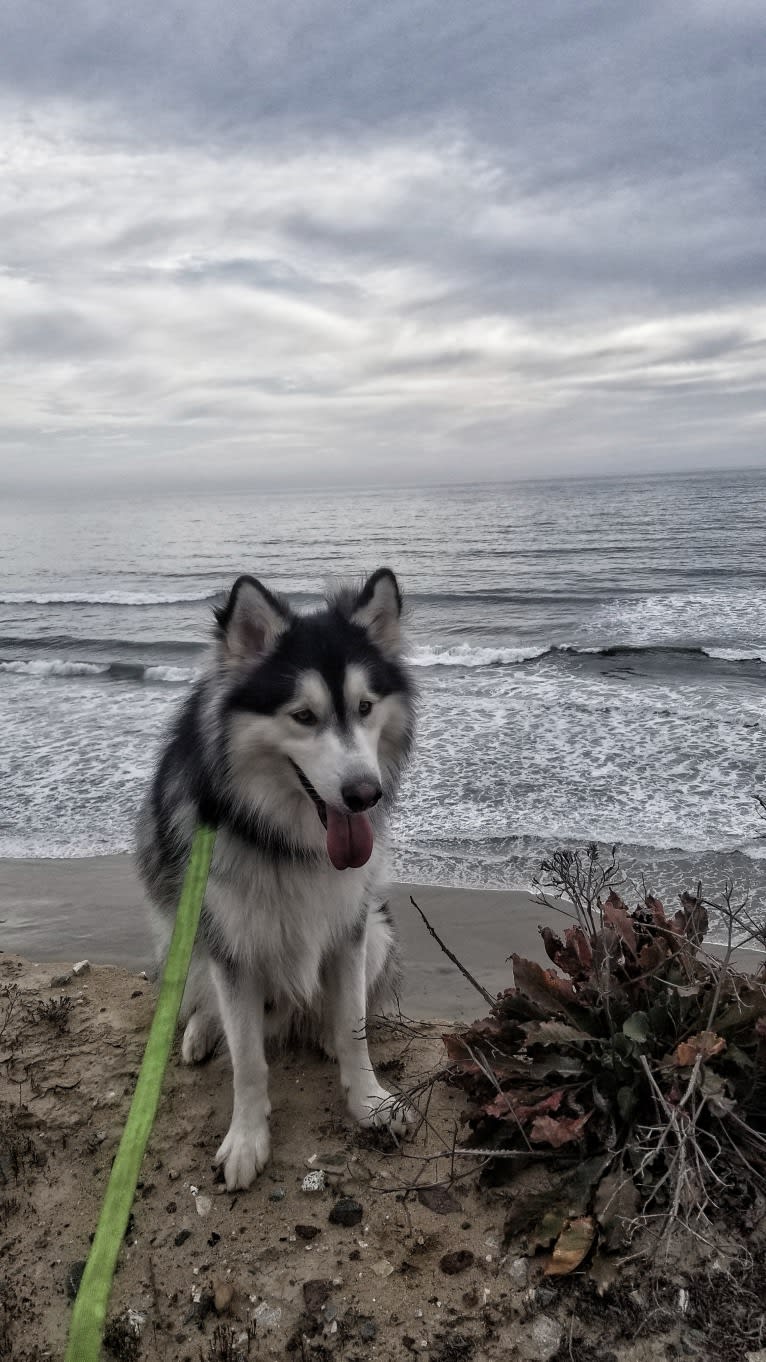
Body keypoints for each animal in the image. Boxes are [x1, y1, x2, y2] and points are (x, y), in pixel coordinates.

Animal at [134, 569, 414, 1187]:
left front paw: (369, 1100)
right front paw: (246, 1139)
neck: (284, 837)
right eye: (303, 716)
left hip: (381, 931)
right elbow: (248, 1061)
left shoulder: (350, 924)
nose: (365, 794)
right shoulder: (231, 944)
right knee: (202, 1000)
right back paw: (198, 1031)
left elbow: (355, 1026)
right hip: (178, 934)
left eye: (365, 706)